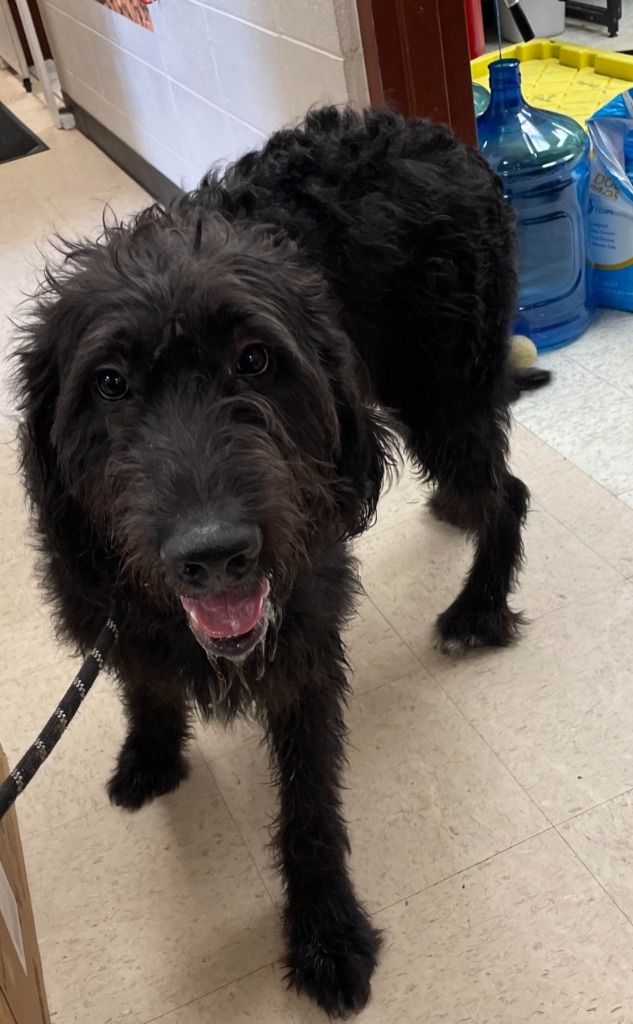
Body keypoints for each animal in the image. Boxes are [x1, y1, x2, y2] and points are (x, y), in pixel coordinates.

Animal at [13, 105, 549, 1015]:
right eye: (110, 382)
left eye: (255, 360)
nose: (213, 554)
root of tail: (430, 132)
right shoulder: (105, 604)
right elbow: (143, 681)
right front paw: (151, 752)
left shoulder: (299, 643)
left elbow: (308, 806)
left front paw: (326, 930)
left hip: (442, 388)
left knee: (505, 491)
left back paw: (477, 608)